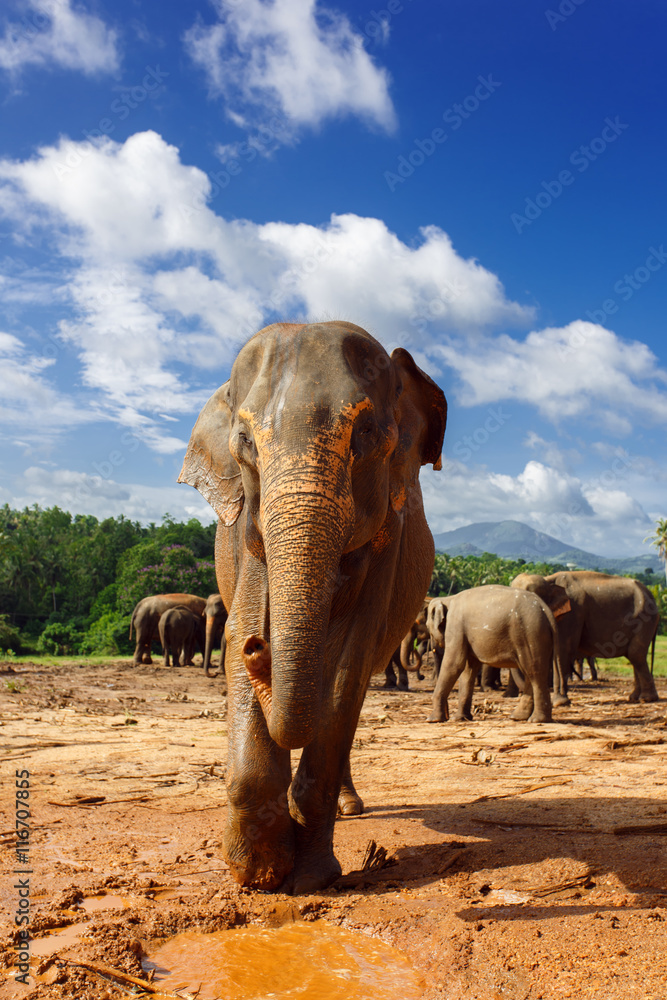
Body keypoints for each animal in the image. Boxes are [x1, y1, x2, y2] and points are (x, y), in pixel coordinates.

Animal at [178, 320, 447, 893]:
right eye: (244, 444)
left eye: (365, 434)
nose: (258, 646)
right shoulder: (247, 533)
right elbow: (246, 619)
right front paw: (259, 873)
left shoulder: (387, 540)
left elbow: (350, 661)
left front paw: (309, 879)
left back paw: (349, 807)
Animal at [425, 585, 563, 724]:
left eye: (427, 626)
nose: (447, 715)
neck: (448, 599)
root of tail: (545, 609)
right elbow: (468, 670)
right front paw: (460, 718)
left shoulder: (456, 628)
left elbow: (454, 665)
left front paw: (432, 720)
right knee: (531, 673)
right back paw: (519, 717)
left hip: (531, 633)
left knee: (534, 673)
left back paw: (536, 720)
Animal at [510, 571, 659, 703]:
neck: (549, 579)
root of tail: (651, 595)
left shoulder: (573, 612)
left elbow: (563, 650)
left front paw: (560, 702)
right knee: (634, 656)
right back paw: (634, 698)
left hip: (644, 620)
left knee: (636, 654)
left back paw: (647, 699)